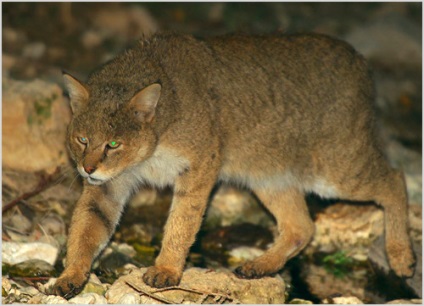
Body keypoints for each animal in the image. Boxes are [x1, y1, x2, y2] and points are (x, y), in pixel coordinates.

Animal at [53, 32, 414, 298]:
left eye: (113, 144)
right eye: (82, 139)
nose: (87, 169)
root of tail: (358, 58)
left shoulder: (199, 167)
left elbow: (182, 222)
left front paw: (167, 269)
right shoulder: (109, 187)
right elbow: (86, 229)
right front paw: (71, 274)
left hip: (334, 171)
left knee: (395, 179)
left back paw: (401, 256)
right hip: (269, 176)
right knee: (302, 226)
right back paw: (261, 265)